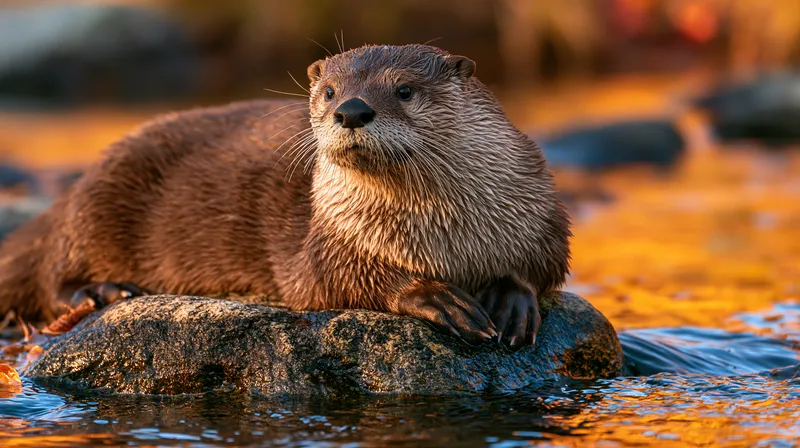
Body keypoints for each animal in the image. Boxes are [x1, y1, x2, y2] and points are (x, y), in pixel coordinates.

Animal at [0, 44, 570, 351]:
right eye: (330, 90)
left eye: (405, 89)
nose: (352, 110)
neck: (445, 237)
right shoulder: (328, 241)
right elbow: (336, 280)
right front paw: (433, 296)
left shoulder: (541, 210)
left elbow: (542, 267)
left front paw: (512, 299)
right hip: (100, 197)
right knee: (52, 273)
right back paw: (104, 291)